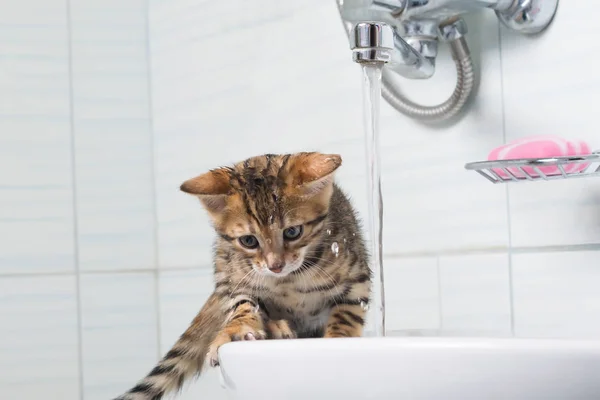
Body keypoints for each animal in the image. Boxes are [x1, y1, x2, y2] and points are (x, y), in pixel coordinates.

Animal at [115, 152, 370, 398]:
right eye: (249, 241)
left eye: (292, 232)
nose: (275, 265)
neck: (288, 279)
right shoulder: (237, 279)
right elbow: (242, 303)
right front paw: (238, 329)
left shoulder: (356, 276)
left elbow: (347, 313)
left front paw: (339, 338)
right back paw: (275, 327)